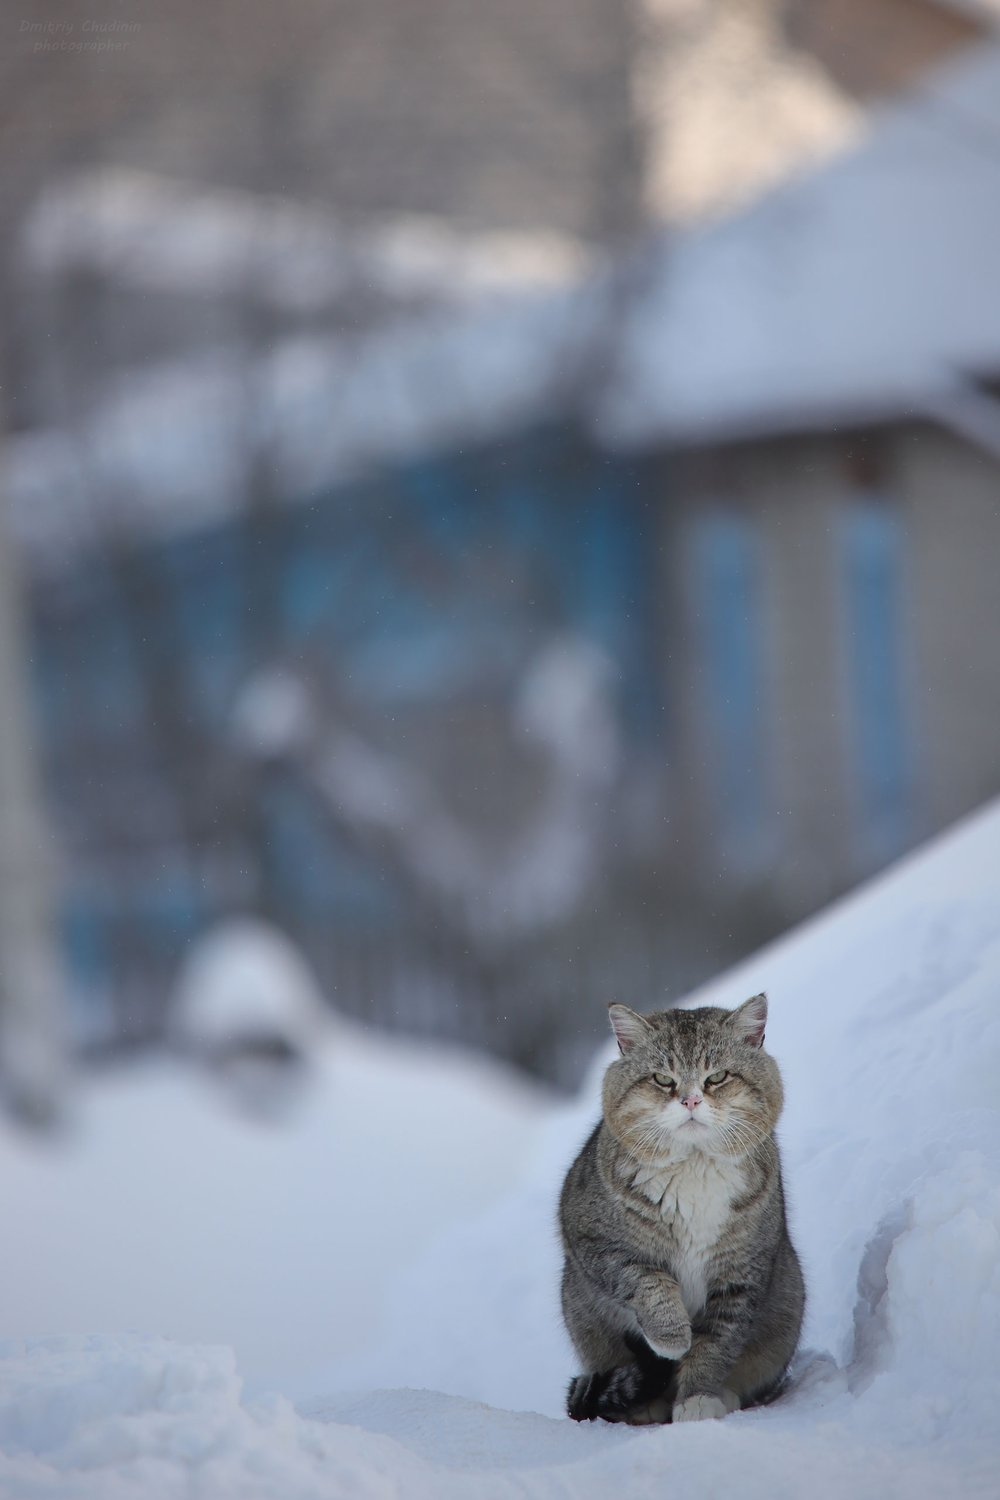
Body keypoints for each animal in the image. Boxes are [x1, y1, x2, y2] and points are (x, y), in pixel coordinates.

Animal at [563, 990, 803, 1422]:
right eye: (662, 1079)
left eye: (717, 1077)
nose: (691, 1099)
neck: (695, 1168)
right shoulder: (596, 1244)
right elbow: (648, 1282)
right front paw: (672, 1335)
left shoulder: (740, 1276)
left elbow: (716, 1345)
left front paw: (698, 1398)